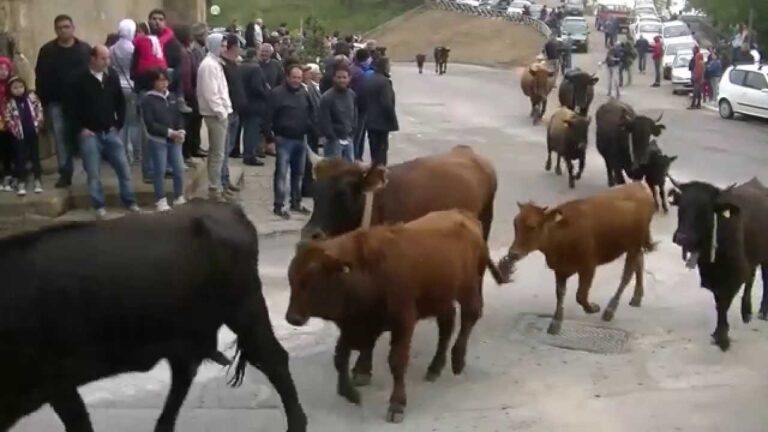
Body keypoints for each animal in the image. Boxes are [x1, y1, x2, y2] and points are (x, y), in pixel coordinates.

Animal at [0, 202, 306, 432]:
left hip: (244, 309)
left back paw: (297, 424)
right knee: (184, 375)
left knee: (274, 359)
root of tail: (228, 209)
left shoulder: (57, 379)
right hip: (187, 332)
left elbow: (79, 422)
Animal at [284, 209, 500, 422]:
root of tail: (465, 216)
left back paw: (457, 360)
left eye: (312, 279)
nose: (292, 317)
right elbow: (340, 357)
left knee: (470, 317)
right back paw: (435, 367)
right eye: (291, 278)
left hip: (469, 290)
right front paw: (350, 392)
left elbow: (397, 361)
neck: (367, 269)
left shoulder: (403, 321)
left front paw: (397, 404)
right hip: (442, 298)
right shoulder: (354, 325)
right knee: (447, 325)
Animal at [500, 182, 656, 334]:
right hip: (634, 247)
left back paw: (610, 310)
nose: (513, 253)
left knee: (627, 275)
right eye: (515, 224)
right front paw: (555, 323)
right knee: (639, 262)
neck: (562, 234)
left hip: (633, 246)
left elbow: (580, 295)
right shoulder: (560, 269)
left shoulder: (588, 266)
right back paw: (636, 297)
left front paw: (592, 308)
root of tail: (639, 186)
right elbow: (560, 294)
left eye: (532, 226)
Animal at [668, 177, 768, 350]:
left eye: (705, 209)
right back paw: (746, 312)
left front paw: (722, 337)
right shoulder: (714, 278)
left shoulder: (734, 277)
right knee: (751, 277)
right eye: (681, 206)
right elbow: (718, 301)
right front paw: (719, 333)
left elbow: (723, 303)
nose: (681, 237)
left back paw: (762, 311)